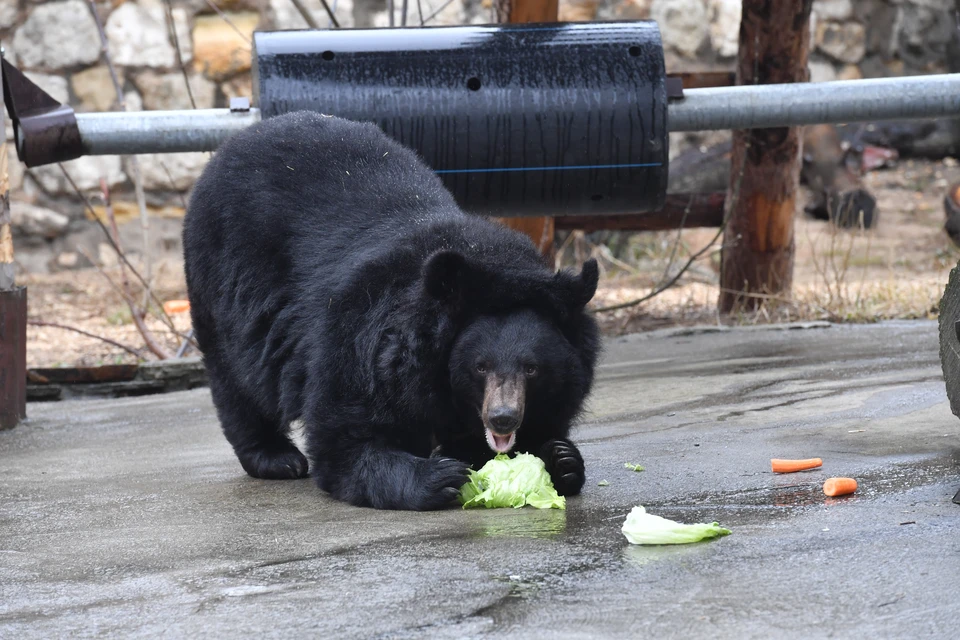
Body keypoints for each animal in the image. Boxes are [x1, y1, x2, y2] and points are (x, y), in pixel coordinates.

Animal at [182, 111, 601, 510]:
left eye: (532, 369)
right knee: (237, 375)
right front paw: (441, 475)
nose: (502, 417)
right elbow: (346, 439)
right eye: (480, 366)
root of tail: (232, 144)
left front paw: (560, 458)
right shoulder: (364, 337)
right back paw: (276, 458)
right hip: (223, 281)